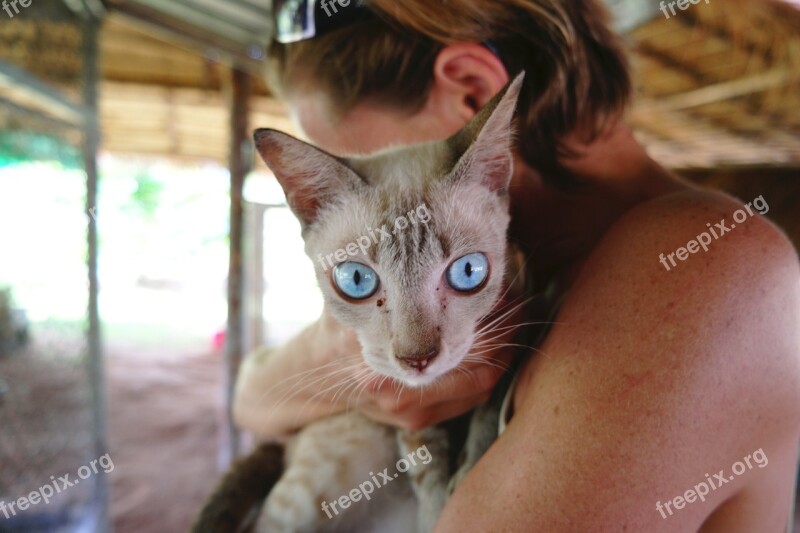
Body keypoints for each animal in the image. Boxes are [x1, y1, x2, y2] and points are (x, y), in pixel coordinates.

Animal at [192, 71, 532, 532]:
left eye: (468, 272)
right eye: (356, 280)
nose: (417, 360)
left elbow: (488, 409)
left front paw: (470, 462)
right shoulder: (412, 419)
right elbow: (427, 469)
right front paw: (438, 508)